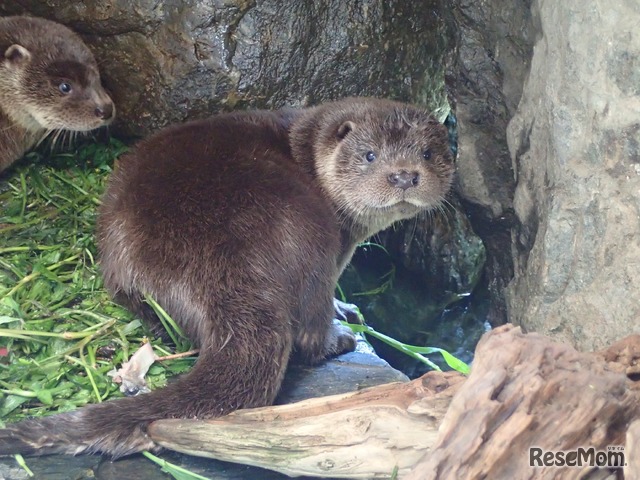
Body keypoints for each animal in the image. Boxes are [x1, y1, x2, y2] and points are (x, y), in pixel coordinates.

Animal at [0, 96, 456, 458]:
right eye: (370, 155)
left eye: (428, 153)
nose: (404, 175)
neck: (305, 149)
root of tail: (219, 260)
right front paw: (344, 311)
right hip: (312, 234)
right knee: (307, 331)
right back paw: (338, 338)